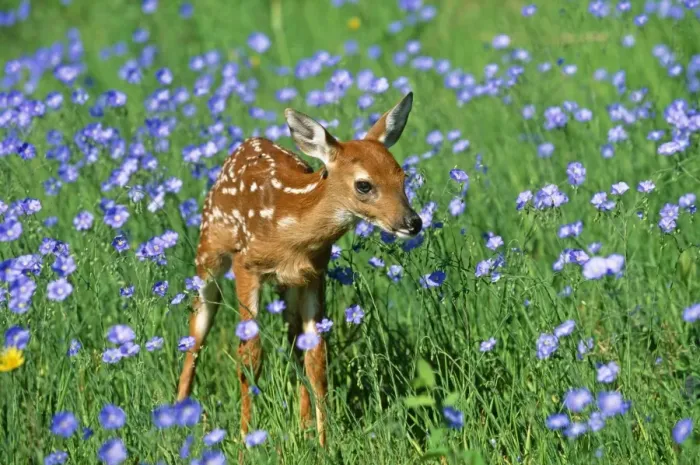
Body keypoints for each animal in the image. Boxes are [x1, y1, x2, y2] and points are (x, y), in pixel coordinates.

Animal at [176, 92, 422, 448]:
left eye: (403, 177)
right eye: (364, 185)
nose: (412, 222)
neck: (290, 232)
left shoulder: (315, 273)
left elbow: (317, 358)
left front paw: (323, 444)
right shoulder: (246, 264)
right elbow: (250, 356)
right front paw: (246, 440)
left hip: (287, 288)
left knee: (295, 343)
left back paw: (302, 426)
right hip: (208, 253)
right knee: (196, 330)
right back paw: (177, 416)